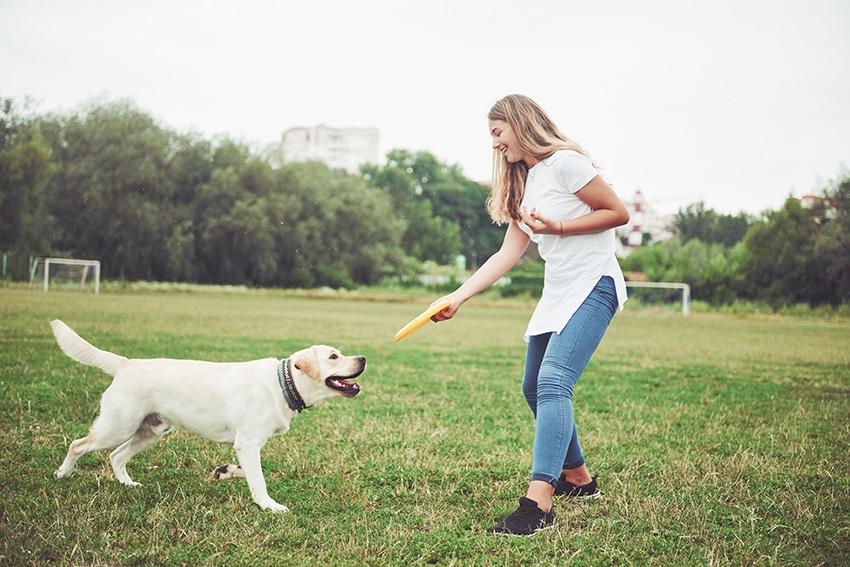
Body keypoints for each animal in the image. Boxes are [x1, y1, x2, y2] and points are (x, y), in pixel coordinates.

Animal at [48, 320, 362, 516]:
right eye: (334, 357)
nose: (363, 358)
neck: (283, 383)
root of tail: (126, 363)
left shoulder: (247, 446)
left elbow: (250, 472)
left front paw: (226, 472)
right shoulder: (248, 443)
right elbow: (259, 479)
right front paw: (269, 506)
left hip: (150, 432)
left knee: (117, 456)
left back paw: (128, 485)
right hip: (118, 426)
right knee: (78, 445)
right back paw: (62, 473)